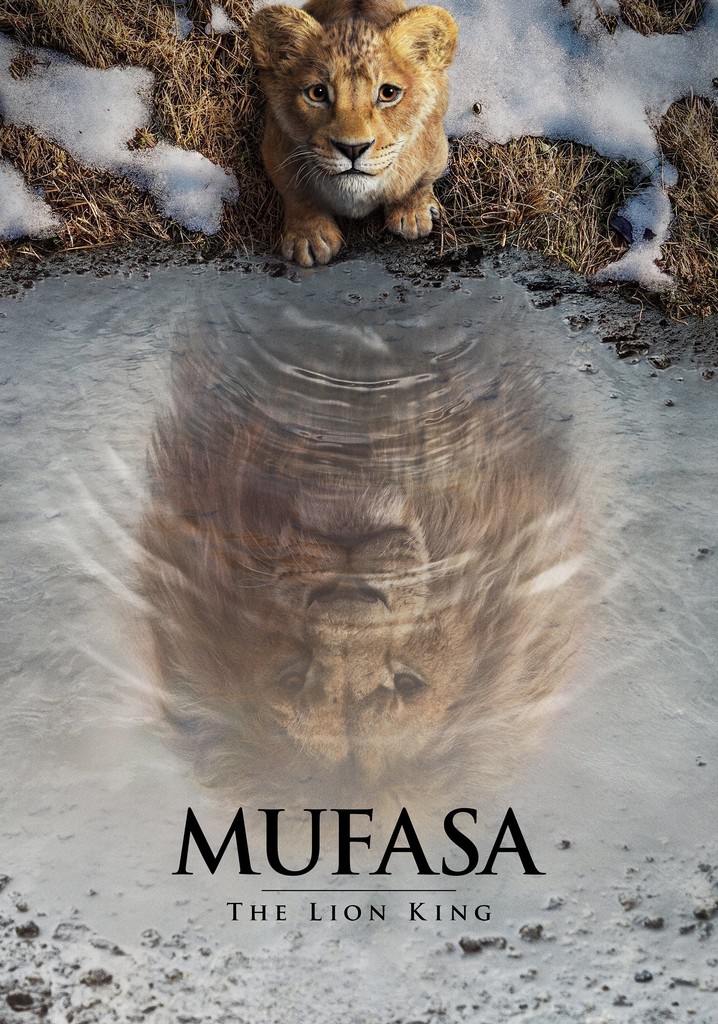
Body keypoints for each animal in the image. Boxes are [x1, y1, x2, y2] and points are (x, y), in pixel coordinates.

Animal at [248, 0, 458, 266]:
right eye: (317, 93)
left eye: (388, 93)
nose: (352, 148)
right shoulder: (275, 146)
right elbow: (297, 193)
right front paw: (309, 237)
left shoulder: (435, 147)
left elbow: (420, 182)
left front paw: (412, 214)